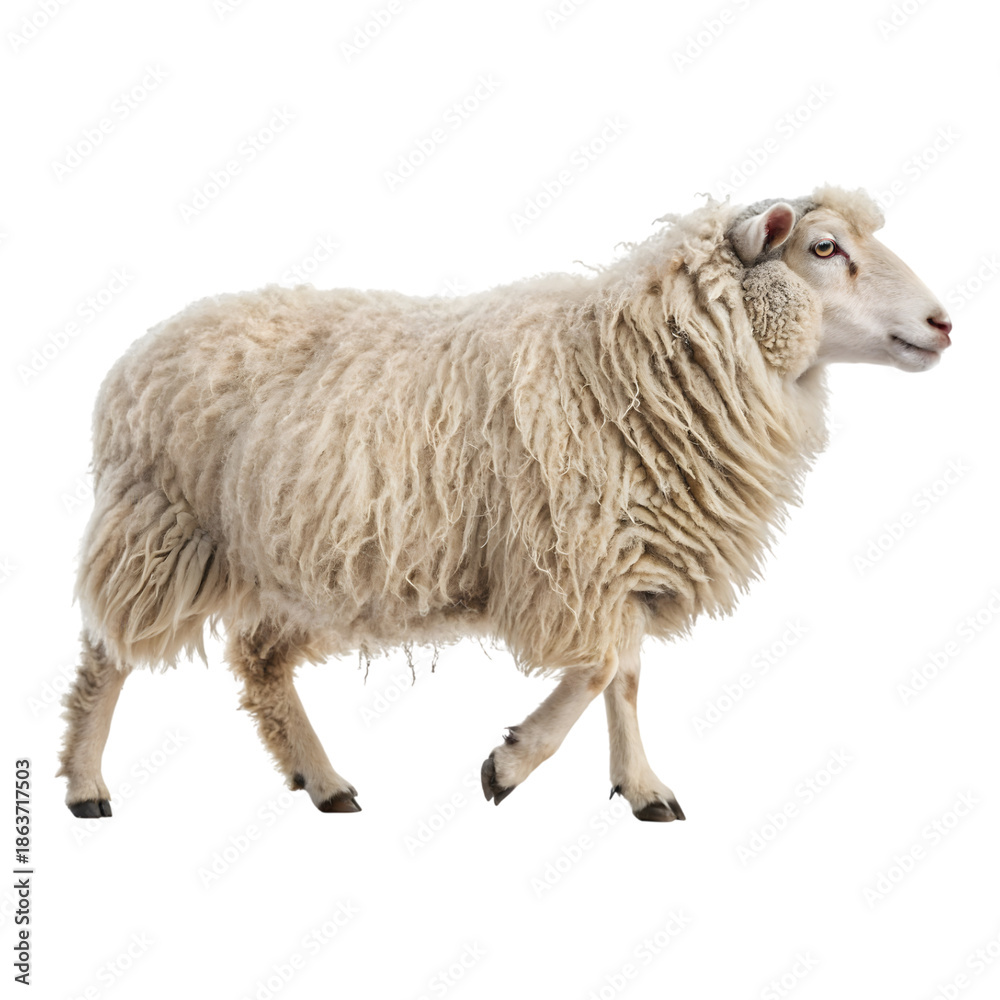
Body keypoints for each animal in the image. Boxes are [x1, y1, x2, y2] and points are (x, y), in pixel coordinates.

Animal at [58, 185, 952, 822]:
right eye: (825, 247)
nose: (943, 322)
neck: (625, 366)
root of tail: (138, 352)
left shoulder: (624, 552)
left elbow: (626, 677)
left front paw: (642, 787)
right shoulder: (567, 552)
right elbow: (597, 668)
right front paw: (510, 763)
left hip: (290, 558)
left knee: (261, 663)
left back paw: (322, 780)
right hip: (160, 524)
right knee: (107, 652)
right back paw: (84, 782)